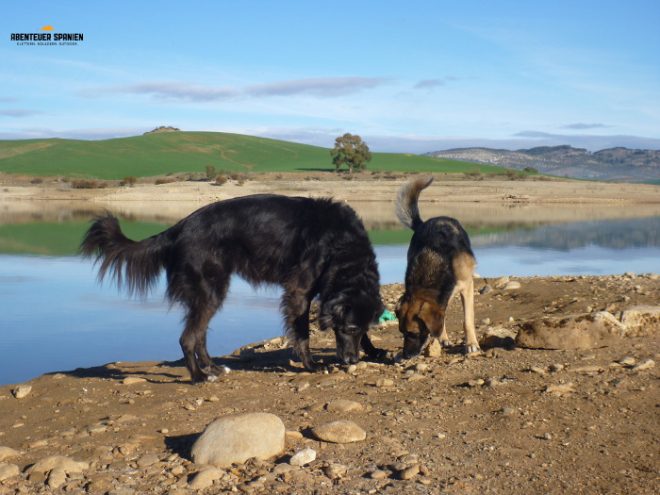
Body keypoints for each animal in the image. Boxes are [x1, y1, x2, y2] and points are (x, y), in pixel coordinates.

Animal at [80, 194, 384, 384]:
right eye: (350, 328)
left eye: (361, 328)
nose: (351, 359)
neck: (342, 246)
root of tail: (179, 228)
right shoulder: (299, 291)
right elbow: (302, 333)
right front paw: (311, 365)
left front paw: (373, 350)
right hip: (210, 290)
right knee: (187, 338)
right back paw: (199, 377)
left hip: (210, 293)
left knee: (199, 335)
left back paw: (213, 367)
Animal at [392, 178, 480, 360]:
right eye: (401, 332)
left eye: (413, 333)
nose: (406, 356)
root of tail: (425, 222)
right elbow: (440, 319)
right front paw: (440, 338)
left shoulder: (467, 285)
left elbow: (467, 320)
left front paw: (471, 344)